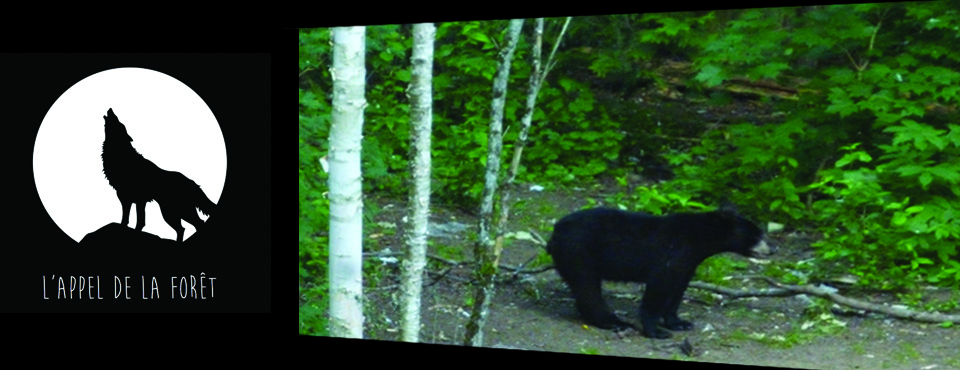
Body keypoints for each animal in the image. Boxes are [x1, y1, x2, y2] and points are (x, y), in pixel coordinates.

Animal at [548, 205, 772, 338]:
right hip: (579, 253)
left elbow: (677, 290)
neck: (697, 240)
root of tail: (555, 232)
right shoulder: (670, 255)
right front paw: (656, 330)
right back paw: (614, 322)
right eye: (757, 234)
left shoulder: (687, 263)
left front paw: (679, 323)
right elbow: (659, 288)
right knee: (587, 287)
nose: (773, 248)